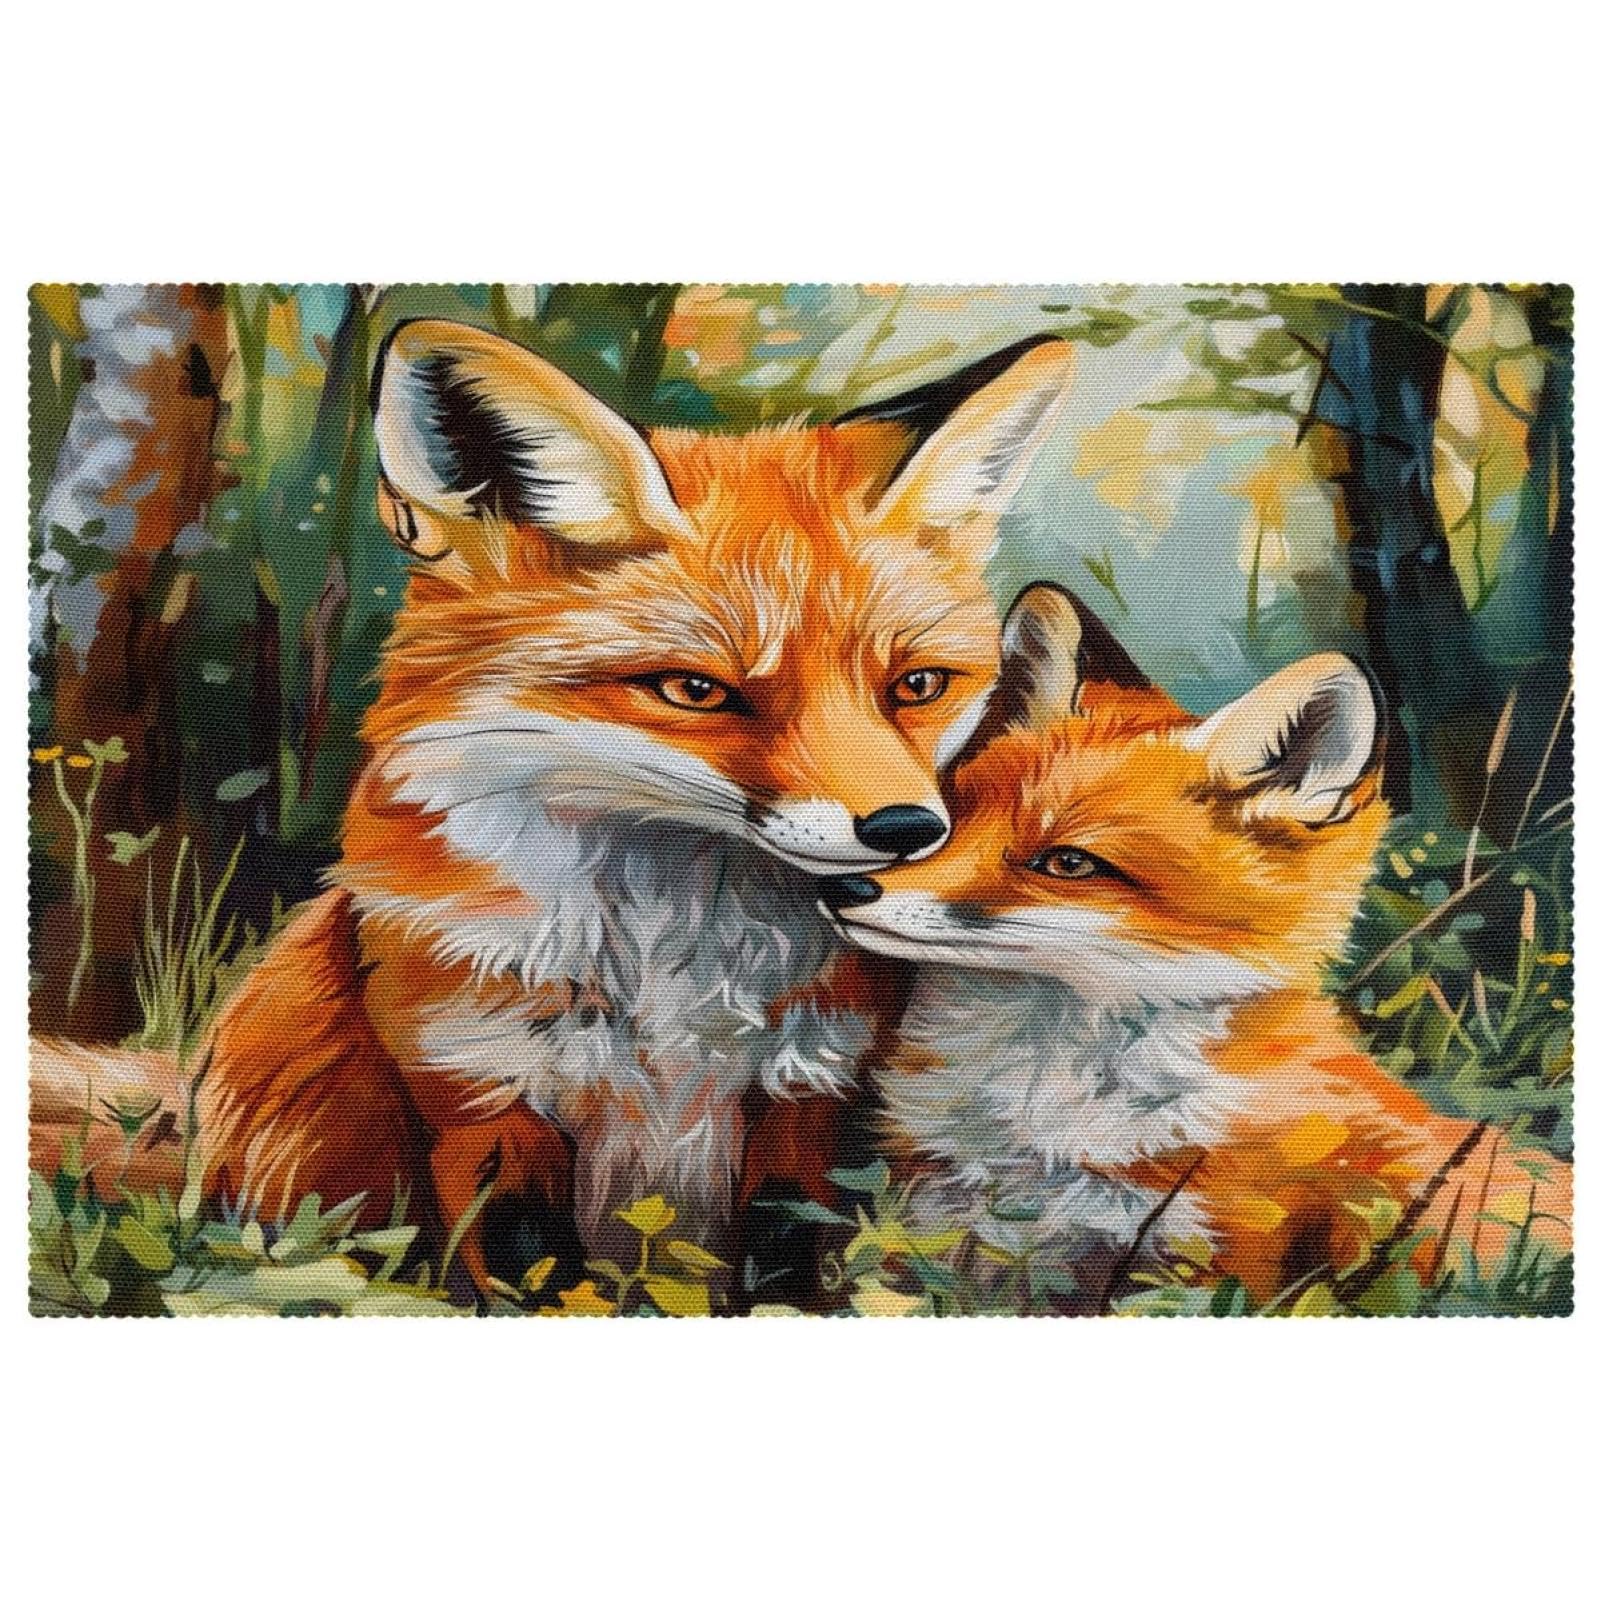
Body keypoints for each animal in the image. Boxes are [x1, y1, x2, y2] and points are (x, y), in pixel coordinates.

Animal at [32, 322, 1078, 1298]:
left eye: (918, 685)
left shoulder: (809, 1094)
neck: (669, 964)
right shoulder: (484, 1102)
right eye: (696, 691)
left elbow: (778, 1283)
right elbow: (537, 1284)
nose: (906, 831)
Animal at [818, 582, 1573, 1309]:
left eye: (1068, 863)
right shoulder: (942, 1236)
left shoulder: (1205, 1260)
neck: (1045, 1115)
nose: (844, 888)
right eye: (949, 823)